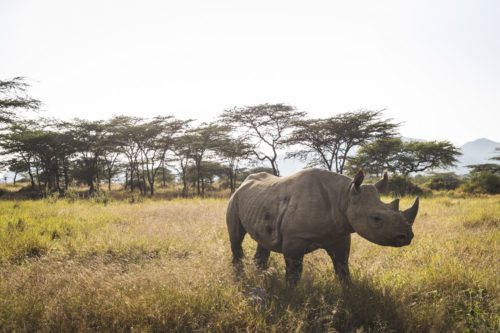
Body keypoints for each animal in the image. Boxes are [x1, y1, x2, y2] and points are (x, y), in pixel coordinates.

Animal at [227, 167, 418, 284]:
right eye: (376, 219)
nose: (406, 236)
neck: (345, 196)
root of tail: (243, 183)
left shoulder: (340, 235)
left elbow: (342, 267)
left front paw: (349, 293)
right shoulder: (295, 238)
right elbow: (294, 272)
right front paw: (290, 296)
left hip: (261, 203)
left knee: (263, 240)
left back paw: (261, 275)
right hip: (235, 198)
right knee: (236, 238)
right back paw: (240, 277)